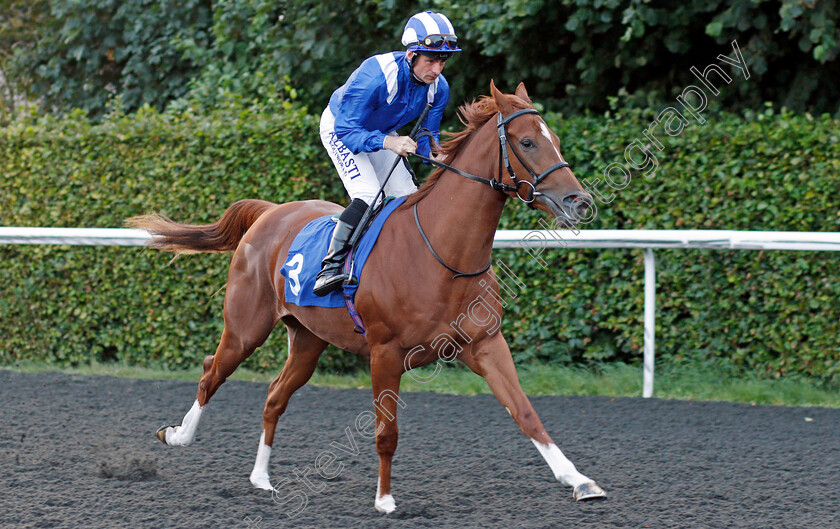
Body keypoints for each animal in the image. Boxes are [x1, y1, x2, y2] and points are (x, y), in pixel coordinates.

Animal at [128, 80, 604, 510]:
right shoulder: (385, 352)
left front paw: (580, 481)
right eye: (527, 141)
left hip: (308, 339)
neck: (443, 253)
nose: (579, 201)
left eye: (554, 138)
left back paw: (261, 478)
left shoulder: (485, 343)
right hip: (246, 327)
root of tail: (270, 212)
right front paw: (385, 499)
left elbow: (525, 413)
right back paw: (178, 435)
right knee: (212, 372)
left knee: (275, 396)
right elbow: (385, 432)